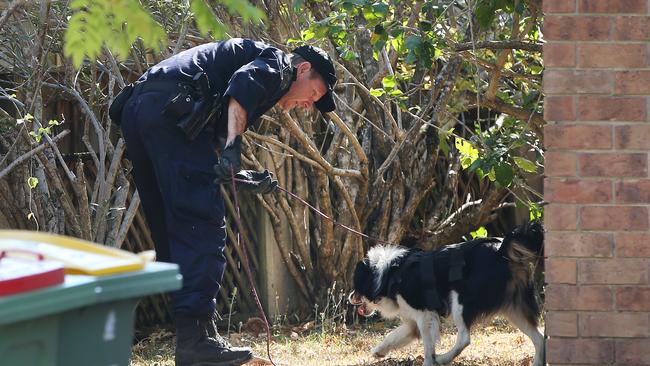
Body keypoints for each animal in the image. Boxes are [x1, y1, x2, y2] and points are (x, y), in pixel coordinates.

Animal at [350, 220, 540, 366]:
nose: (350, 297)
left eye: (356, 285)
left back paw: (443, 358)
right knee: (540, 338)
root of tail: (501, 249)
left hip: (459, 301)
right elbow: (393, 336)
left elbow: (428, 347)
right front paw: (379, 352)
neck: (391, 273)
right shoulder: (413, 322)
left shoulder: (425, 316)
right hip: (513, 309)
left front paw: (429, 362)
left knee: (464, 338)